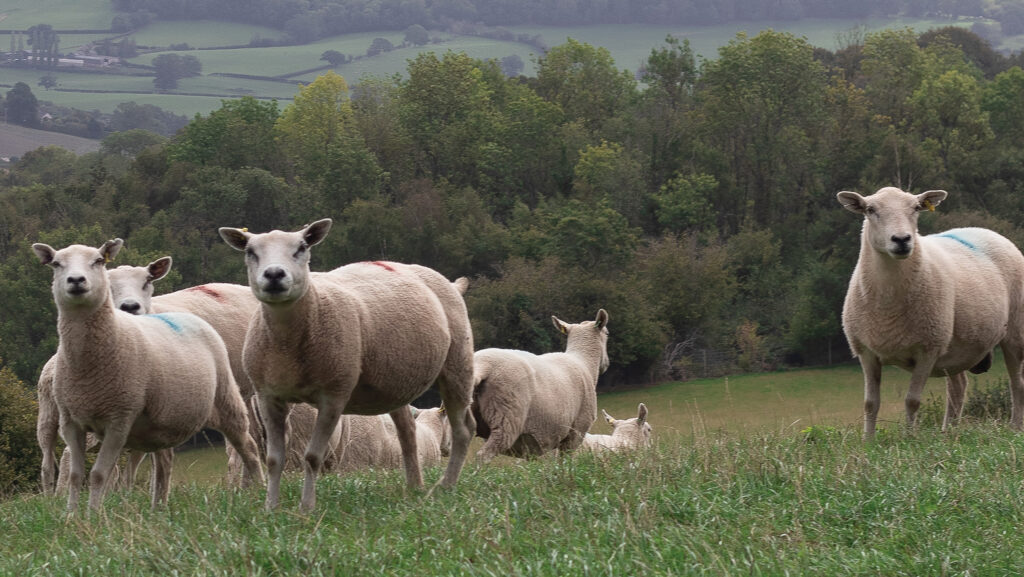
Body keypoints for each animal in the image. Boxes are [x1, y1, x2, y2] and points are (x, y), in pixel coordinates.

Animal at [219, 219, 476, 511]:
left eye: (302, 247)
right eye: (250, 251)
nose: (274, 274)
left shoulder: (334, 394)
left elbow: (312, 456)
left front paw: (306, 508)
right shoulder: (268, 396)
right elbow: (275, 459)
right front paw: (271, 508)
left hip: (458, 361)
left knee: (463, 429)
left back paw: (445, 486)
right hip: (395, 382)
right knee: (408, 433)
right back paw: (414, 486)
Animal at [472, 309, 610, 462]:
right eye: (607, 333)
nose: (606, 364)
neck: (584, 361)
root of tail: (483, 365)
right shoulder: (576, 431)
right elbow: (565, 461)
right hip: (506, 417)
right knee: (483, 455)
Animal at [837, 186, 1024, 438]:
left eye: (916, 208)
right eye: (870, 209)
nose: (902, 239)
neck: (888, 303)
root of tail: (985, 230)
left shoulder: (928, 349)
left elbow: (912, 401)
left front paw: (909, 438)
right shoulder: (866, 352)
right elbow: (870, 403)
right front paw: (868, 441)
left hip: (1014, 331)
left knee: (1016, 382)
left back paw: (1015, 426)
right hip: (957, 345)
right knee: (958, 386)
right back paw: (948, 432)